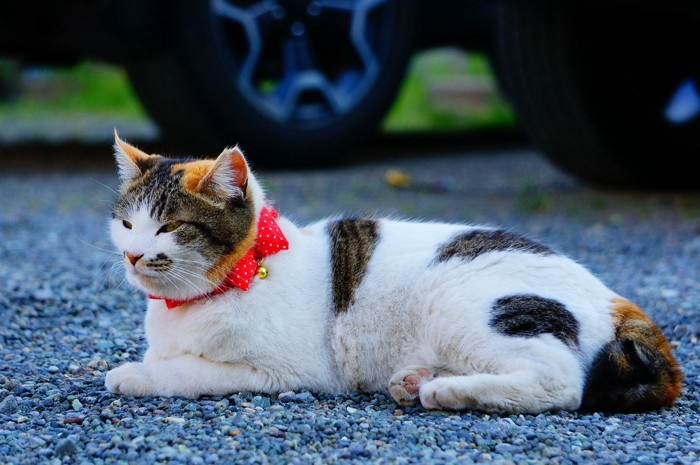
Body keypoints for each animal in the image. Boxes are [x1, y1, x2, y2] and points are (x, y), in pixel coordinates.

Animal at [106, 132, 680, 412]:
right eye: (127, 223)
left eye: (169, 227)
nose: (132, 255)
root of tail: (611, 297)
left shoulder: (283, 371)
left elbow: (187, 371)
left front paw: (135, 375)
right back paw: (418, 379)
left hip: (467, 306)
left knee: (560, 385)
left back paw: (447, 393)